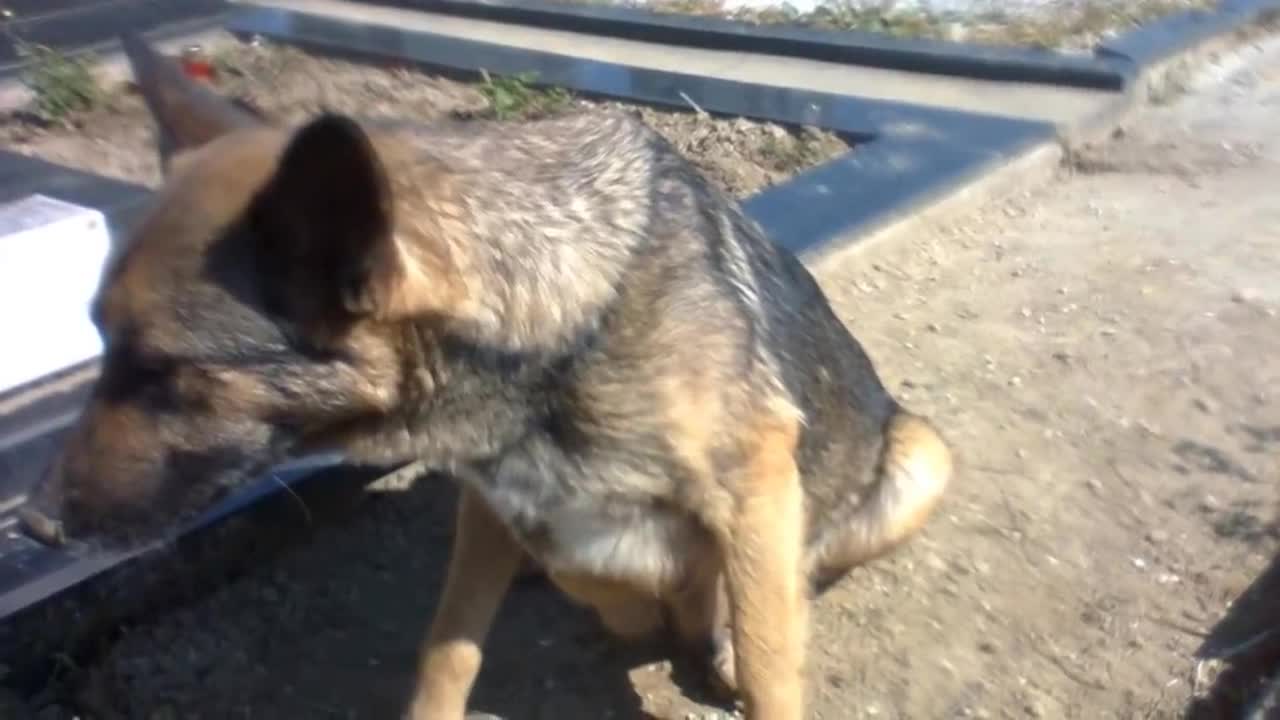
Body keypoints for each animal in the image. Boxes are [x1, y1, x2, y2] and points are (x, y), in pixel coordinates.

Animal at [22, 33, 952, 717]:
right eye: (101, 346)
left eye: (162, 371)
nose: (32, 527)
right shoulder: (494, 503)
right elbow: (455, 649)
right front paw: (640, 596)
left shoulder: (754, 482)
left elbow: (763, 654)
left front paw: (706, 615)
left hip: (921, 458)